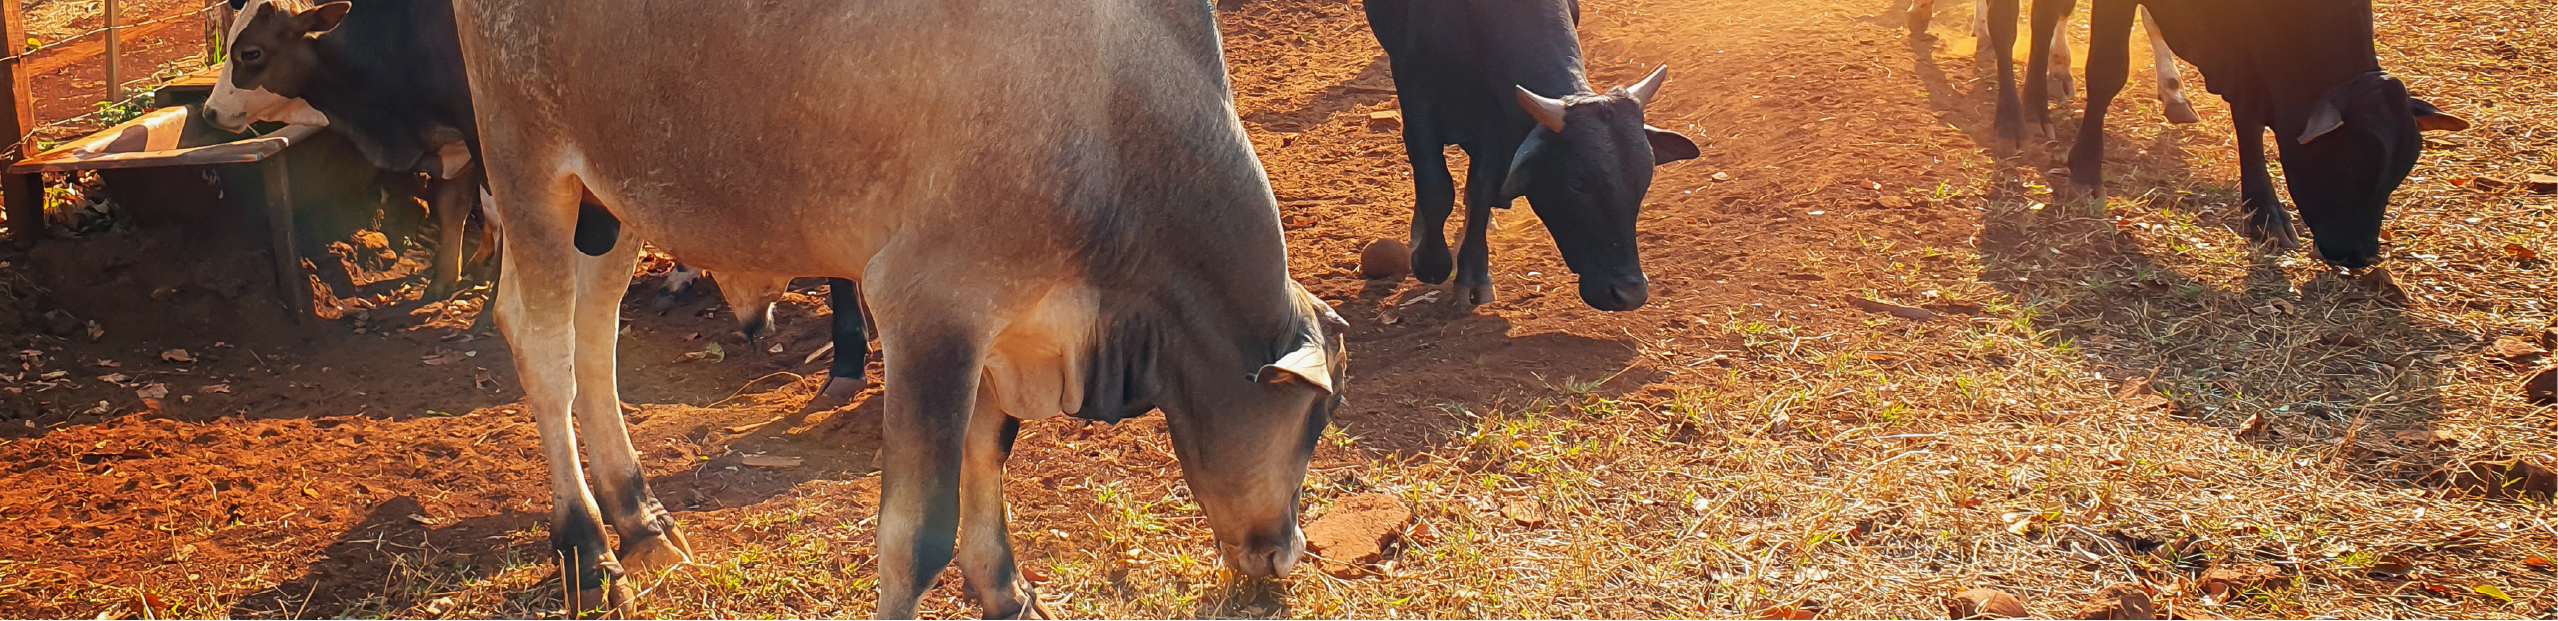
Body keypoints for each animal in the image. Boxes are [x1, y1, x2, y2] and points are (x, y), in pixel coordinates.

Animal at [449, 0, 1349, 618]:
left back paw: (639, 516)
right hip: (527, 159)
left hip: (617, 195)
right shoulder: (928, 309)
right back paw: (587, 547)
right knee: (542, 344)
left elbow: (990, 457)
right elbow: (916, 536)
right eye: (1314, 420)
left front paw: (1007, 591)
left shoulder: (999, 324)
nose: (1285, 553)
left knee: (593, 334)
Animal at [1364, 0, 1699, 312]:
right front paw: (1430, 262)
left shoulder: (1495, 123)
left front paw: (1474, 276)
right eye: (1577, 183)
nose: (1629, 294)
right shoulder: (1415, 96)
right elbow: (1435, 188)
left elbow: (1481, 193)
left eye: (1644, 180)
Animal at [1992, 0, 2468, 269]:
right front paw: (2086, 172)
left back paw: (2035, 106)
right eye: (2352, 160)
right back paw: (2013, 119)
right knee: (2012, 22)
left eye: (2400, 173)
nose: (2362, 254)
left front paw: (2265, 211)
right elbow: (2108, 70)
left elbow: (2249, 114)